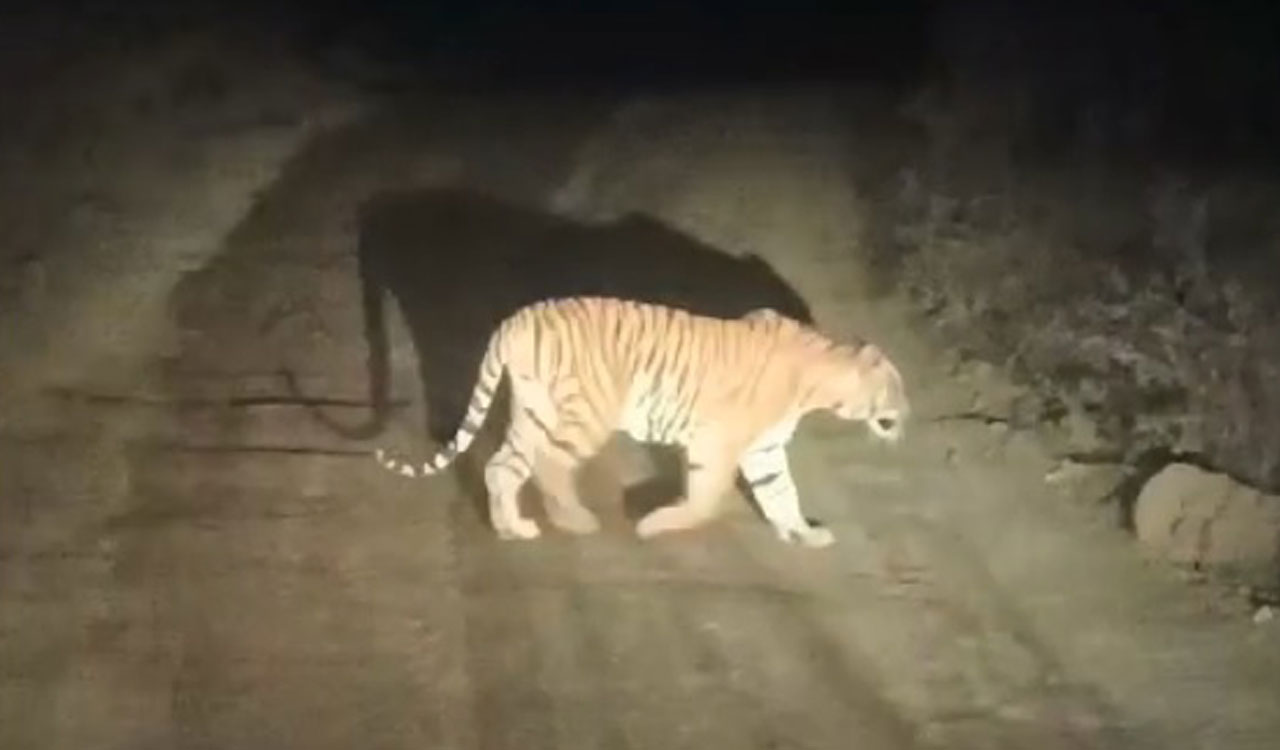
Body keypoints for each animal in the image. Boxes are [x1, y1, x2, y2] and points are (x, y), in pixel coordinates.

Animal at [375, 296, 908, 547]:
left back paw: (514, 529)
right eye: (897, 389)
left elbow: (782, 494)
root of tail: (515, 320)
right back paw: (574, 521)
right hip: (586, 414)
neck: (821, 379)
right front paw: (655, 525)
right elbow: (705, 501)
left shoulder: (765, 449)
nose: (907, 419)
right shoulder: (717, 445)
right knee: (549, 466)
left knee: (502, 466)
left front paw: (804, 534)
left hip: (533, 411)